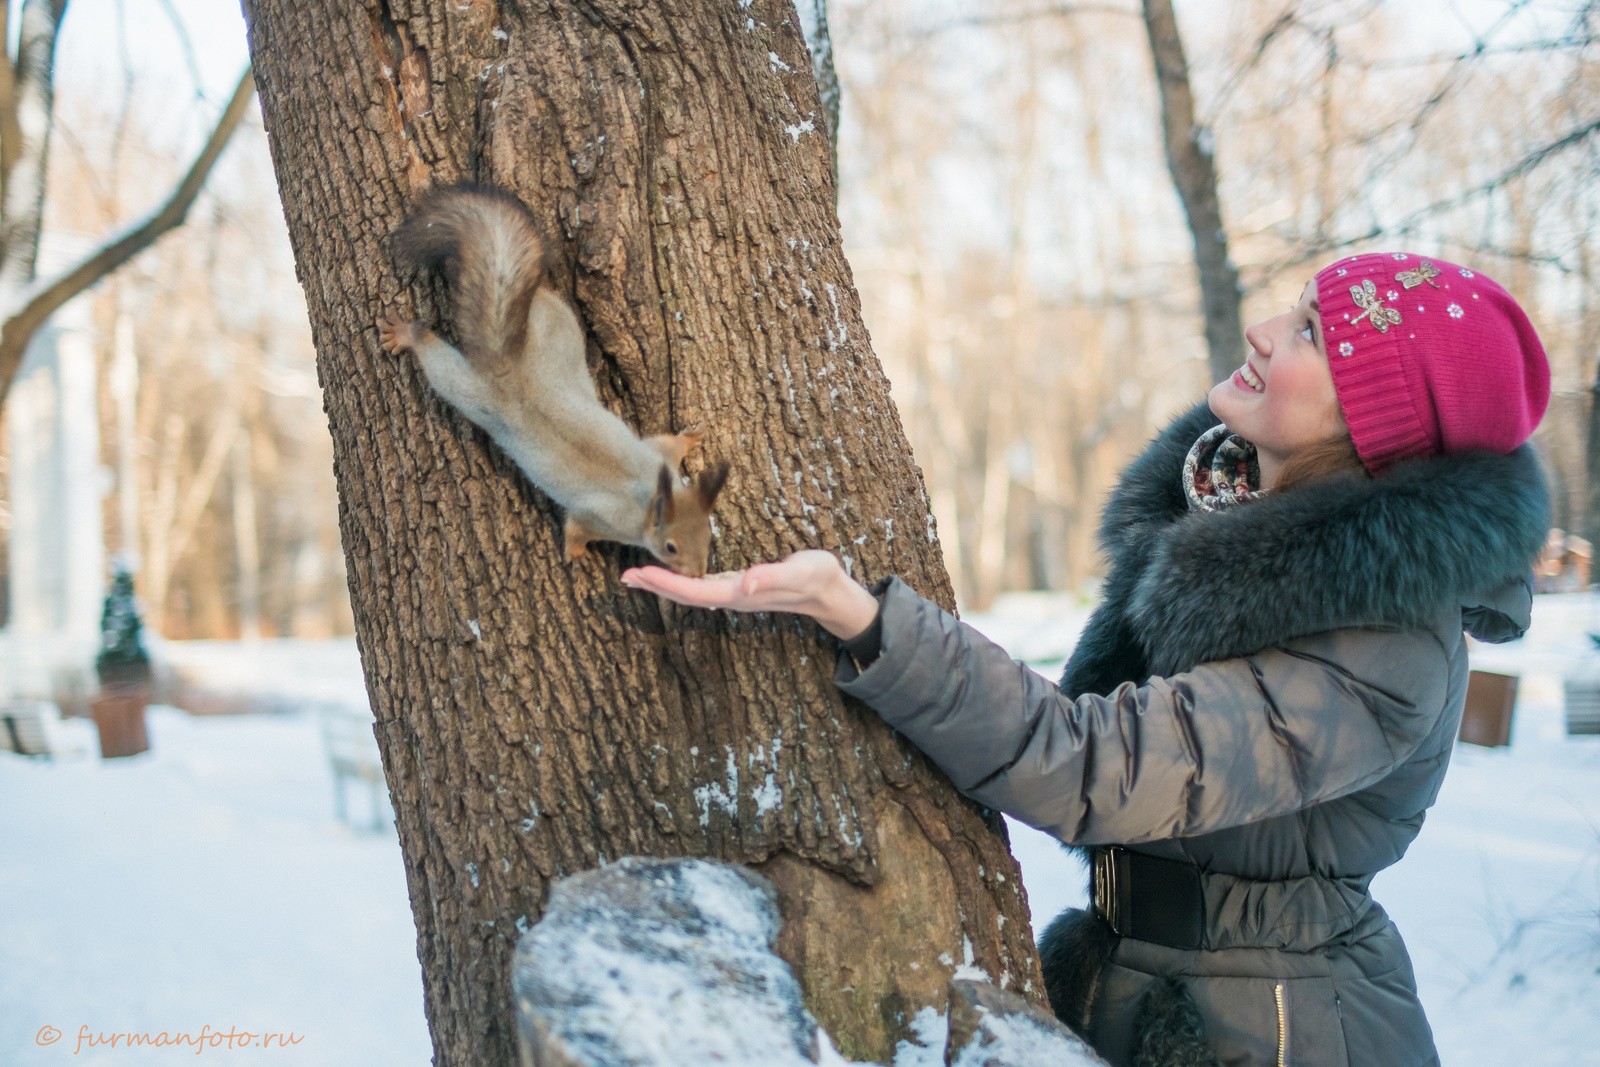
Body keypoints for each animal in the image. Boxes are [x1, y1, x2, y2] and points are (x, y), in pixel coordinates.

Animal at [374, 187, 732, 579]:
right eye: (670, 547)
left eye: (708, 533)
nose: (697, 574)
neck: (647, 492)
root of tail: (508, 366)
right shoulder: (601, 517)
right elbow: (576, 527)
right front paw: (576, 554)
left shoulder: (655, 454)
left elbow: (668, 443)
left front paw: (690, 439)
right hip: (467, 392)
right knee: (438, 364)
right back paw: (410, 335)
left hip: (557, 327)